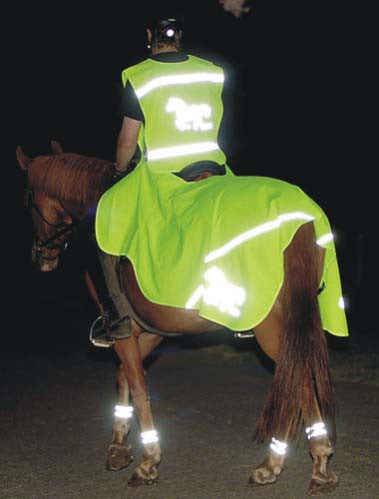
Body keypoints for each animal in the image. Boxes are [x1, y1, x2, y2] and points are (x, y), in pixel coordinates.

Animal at [16, 143, 340, 498]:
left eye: (28, 201)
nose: (40, 257)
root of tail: (299, 218)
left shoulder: (123, 328)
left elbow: (138, 386)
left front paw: (148, 461)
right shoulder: (150, 329)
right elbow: (123, 376)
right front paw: (119, 446)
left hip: (272, 327)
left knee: (297, 378)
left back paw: (288, 464)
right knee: (298, 376)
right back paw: (304, 464)